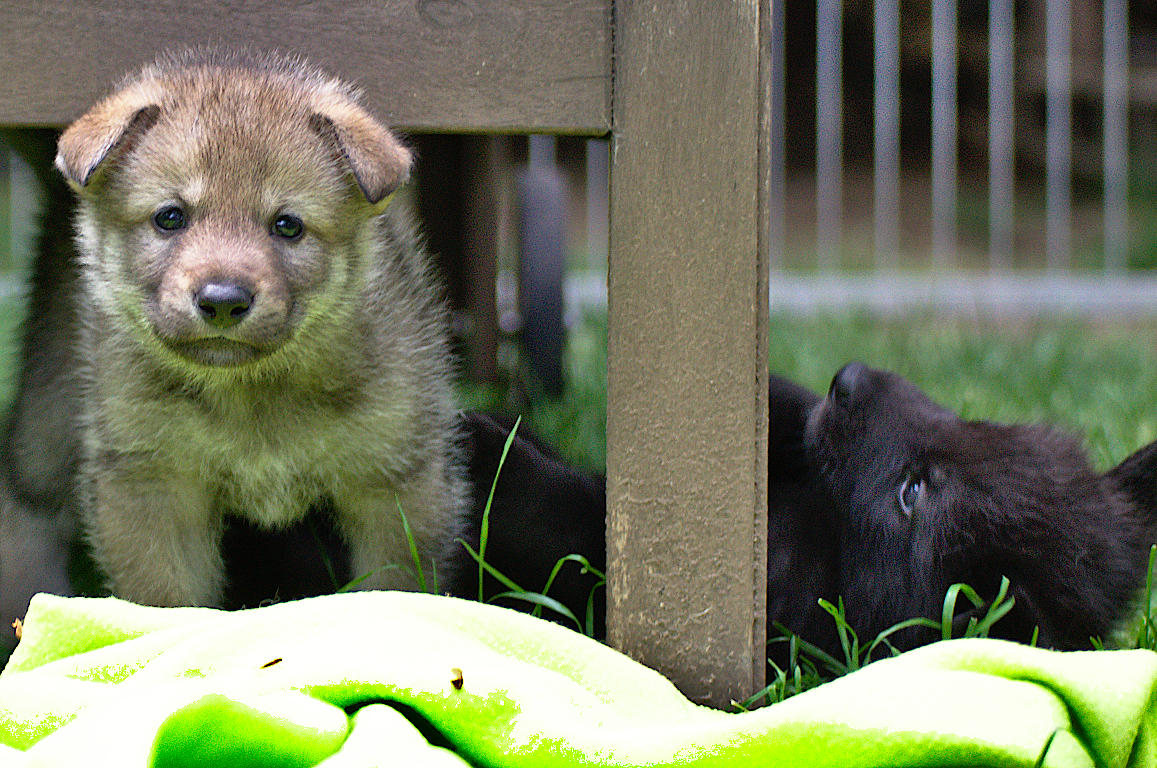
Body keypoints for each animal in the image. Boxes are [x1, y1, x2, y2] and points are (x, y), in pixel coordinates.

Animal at [1, 49, 467, 614]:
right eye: (170, 217)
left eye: (288, 225)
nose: (223, 302)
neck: (251, 396)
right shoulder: (150, 483)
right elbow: (165, 601)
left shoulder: (394, 479)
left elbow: (395, 589)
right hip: (50, 416)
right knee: (25, 504)